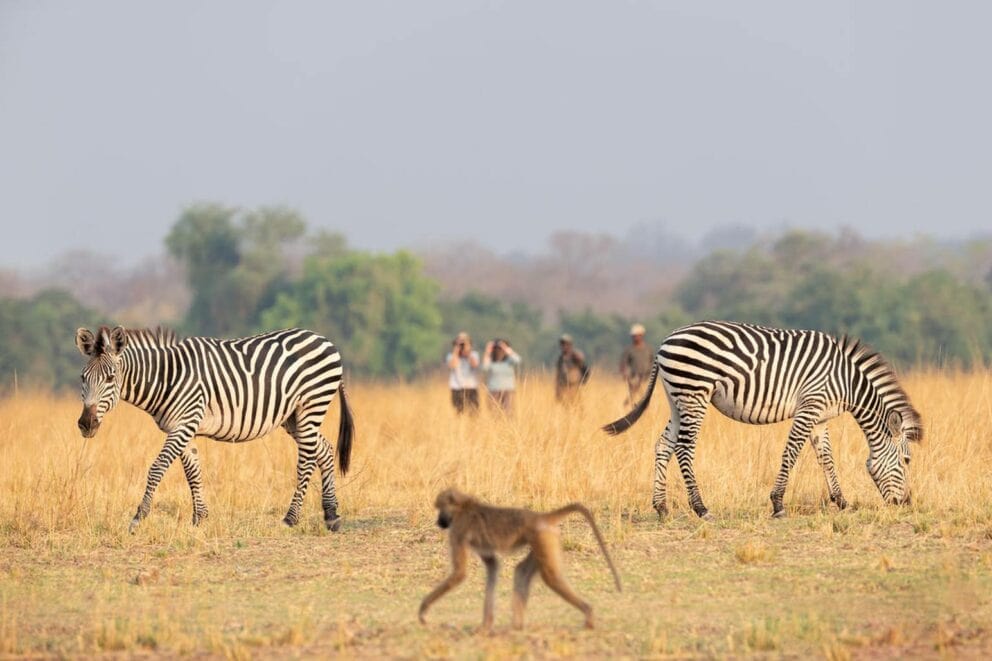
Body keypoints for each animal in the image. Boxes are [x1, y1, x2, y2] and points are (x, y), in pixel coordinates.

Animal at [74, 325, 354, 533]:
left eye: (111, 378)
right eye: (82, 378)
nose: (86, 424)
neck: (166, 377)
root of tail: (324, 340)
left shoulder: (185, 423)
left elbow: (157, 468)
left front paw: (138, 517)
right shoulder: (181, 427)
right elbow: (193, 472)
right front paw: (200, 518)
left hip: (311, 405)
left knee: (306, 460)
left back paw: (290, 518)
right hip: (294, 417)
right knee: (325, 450)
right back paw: (331, 515)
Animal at [418, 488, 622, 631]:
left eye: (439, 508)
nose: (439, 522)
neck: (464, 507)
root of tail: (541, 517)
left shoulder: (458, 530)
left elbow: (459, 574)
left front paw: (423, 610)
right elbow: (493, 566)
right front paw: (485, 626)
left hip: (541, 537)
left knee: (551, 577)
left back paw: (588, 615)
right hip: (544, 539)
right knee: (522, 570)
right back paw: (517, 626)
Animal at [603, 321, 922, 519]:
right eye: (906, 460)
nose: (906, 503)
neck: (847, 381)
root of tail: (665, 343)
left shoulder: (819, 417)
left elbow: (826, 458)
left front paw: (841, 501)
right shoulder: (809, 406)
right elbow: (791, 452)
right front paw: (778, 504)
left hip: (677, 398)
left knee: (663, 444)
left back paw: (661, 507)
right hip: (695, 393)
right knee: (683, 448)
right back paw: (701, 508)